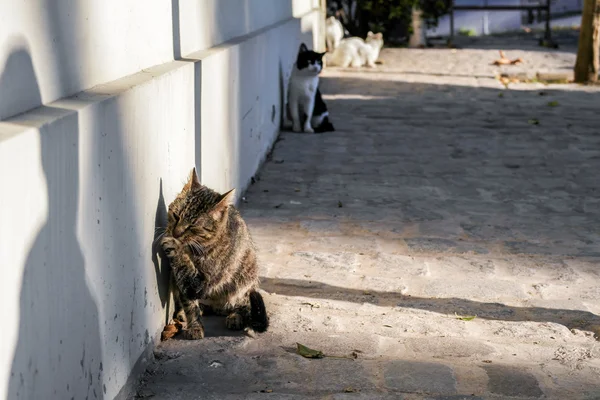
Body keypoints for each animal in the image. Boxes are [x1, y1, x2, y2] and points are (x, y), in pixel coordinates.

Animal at [157, 167, 268, 340]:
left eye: (193, 226)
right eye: (176, 215)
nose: (175, 233)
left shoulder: (199, 282)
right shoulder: (182, 282)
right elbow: (189, 303)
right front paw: (194, 323)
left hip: (245, 280)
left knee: (244, 304)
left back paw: (235, 316)